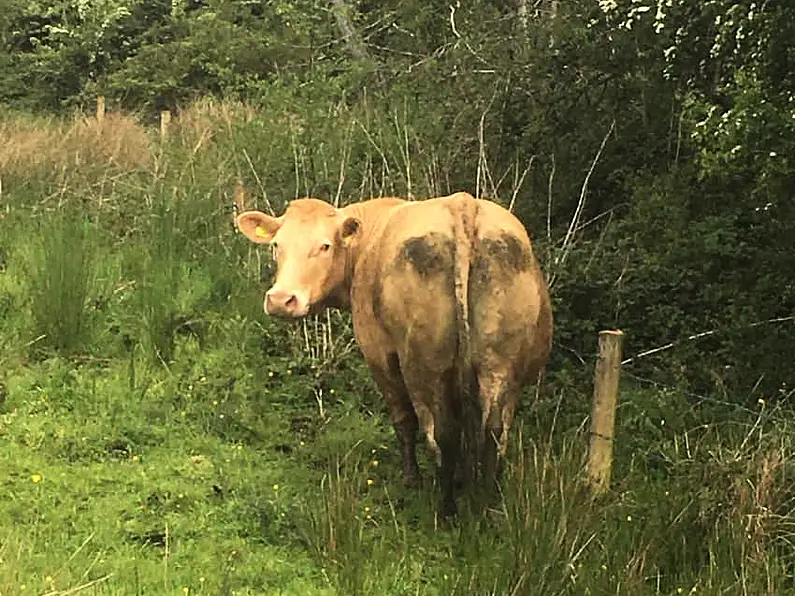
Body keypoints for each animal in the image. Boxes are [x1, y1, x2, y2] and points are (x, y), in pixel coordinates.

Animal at [236, 191, 552, 516]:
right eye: (276, 245)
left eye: (325, 245)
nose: (280, 299)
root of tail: (463, 205)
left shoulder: (379, 353)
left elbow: (403, 419)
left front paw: (412, 477)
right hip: (499, 363)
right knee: (493, 432)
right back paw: (488, 504)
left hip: (426, 365)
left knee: (444, 432)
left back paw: (446, 509)